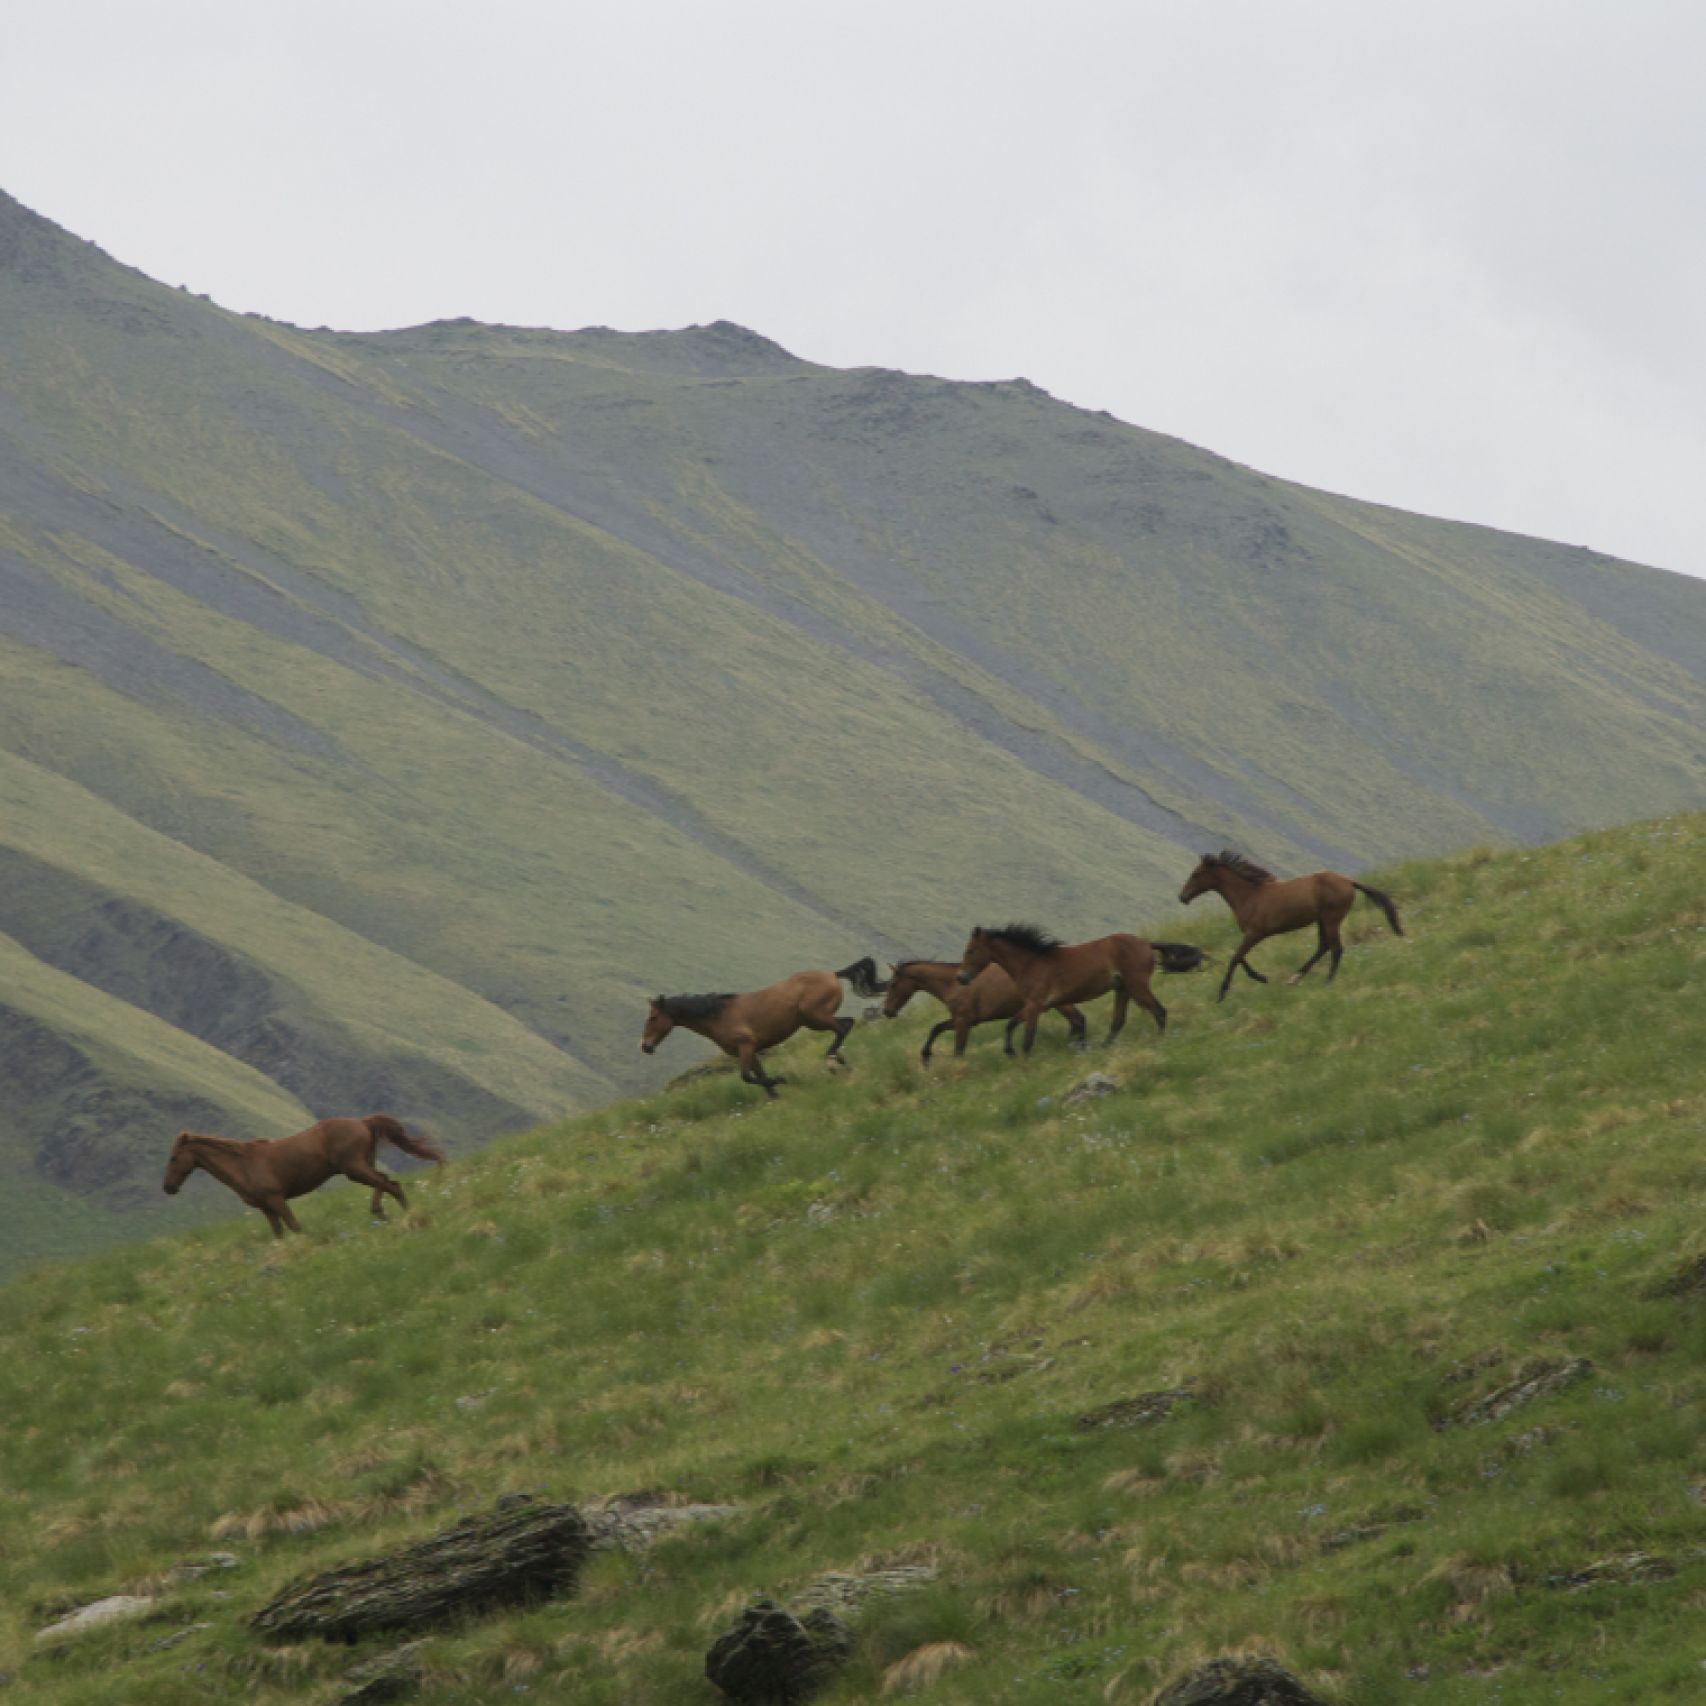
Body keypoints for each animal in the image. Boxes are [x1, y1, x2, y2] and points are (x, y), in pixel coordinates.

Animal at [160, 1112, 446, 1235]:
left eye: (173, 1158)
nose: (168, 1188)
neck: (244, 1164)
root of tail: (363, 1122)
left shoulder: (276, 1199)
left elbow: (295, 1226)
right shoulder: (267, 1208)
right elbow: (279, 1233)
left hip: (353, 1169)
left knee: (392, 1185)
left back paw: (410, 1215)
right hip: (362, 1164)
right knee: (385, 1182)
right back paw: (382, 1213)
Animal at [634, 955, 887, 1098]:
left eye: (653, 1018)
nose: (645, 1046)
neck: (718, 1015)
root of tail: (833, 974)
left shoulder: (745, 1046)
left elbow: (746, 1076)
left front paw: (780, 1080)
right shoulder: (750, 1051)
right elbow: (759, 1074)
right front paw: (774, 1094)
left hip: (815, 1018)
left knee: (843, 1027)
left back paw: (833, 1059)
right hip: (813, 1020)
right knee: (846, 1025)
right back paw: (840, 1060)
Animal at [887, 962, 1085, 1064]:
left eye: (893, 984)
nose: (887, 1010)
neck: (953, 983)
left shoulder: (963, 1022)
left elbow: (959, 1050)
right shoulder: (961, 1021)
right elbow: (936, 1028)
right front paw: (926, 1056)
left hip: (1060, 1004)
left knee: (1077, 1020)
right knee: (1076, 1021)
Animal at [955, 921, 1207, 1050]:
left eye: (970, 950)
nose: (961, 978)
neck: (1032, 962)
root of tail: (1145, 943)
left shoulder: (1036, 1005)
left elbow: (1026, 1037)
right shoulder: (1038, 1005)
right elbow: (1011, 1025)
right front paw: (1009, 1052)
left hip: (1137, 987)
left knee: (1159, 1011)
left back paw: (1159, 1040)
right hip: (1122, 989)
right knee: (1118, 1021)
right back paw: (1102, 1048)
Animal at [1180, 849, 1405, 996]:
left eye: (1196, 874)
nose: (1182, 897)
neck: (1250, 896)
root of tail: (1349, 881)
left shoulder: (1255, 933)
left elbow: (1236, 957)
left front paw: (1223, 992)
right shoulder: (1250, 934)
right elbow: (1239, 957)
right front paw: (1261, 978)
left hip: (1331, 918)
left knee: (1336, 948)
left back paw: (1326, 982)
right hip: (1321, 920)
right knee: (1323, 947)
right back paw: (1294, 978)